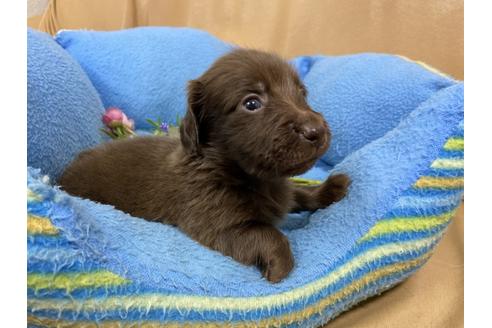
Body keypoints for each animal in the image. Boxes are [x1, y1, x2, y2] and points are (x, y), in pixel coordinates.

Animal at [60, 48, 350, 282]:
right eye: (252, 103)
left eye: (301, 93)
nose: (315, 130)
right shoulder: (218, 224)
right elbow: (270, 234)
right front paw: (279, 264)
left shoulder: (281, 189)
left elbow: (298, 193)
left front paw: (328, 190)